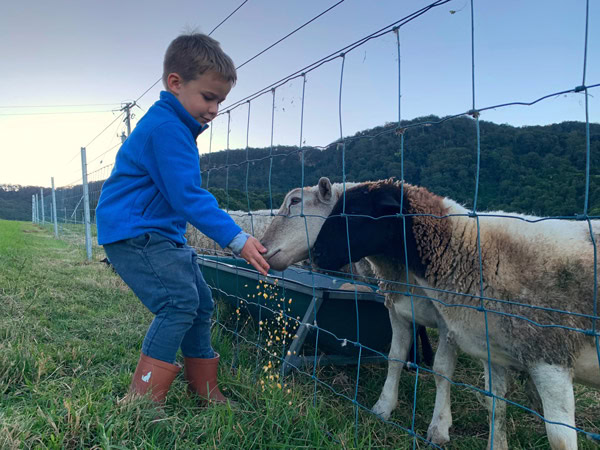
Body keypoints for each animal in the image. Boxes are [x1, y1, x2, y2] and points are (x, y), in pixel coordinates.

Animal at [310, 178, 600, 450]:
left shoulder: (551, 356)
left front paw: (438, 428)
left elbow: (560, 438)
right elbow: (494, 404)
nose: (315, 253)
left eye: (355, 212)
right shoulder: (491, 349)